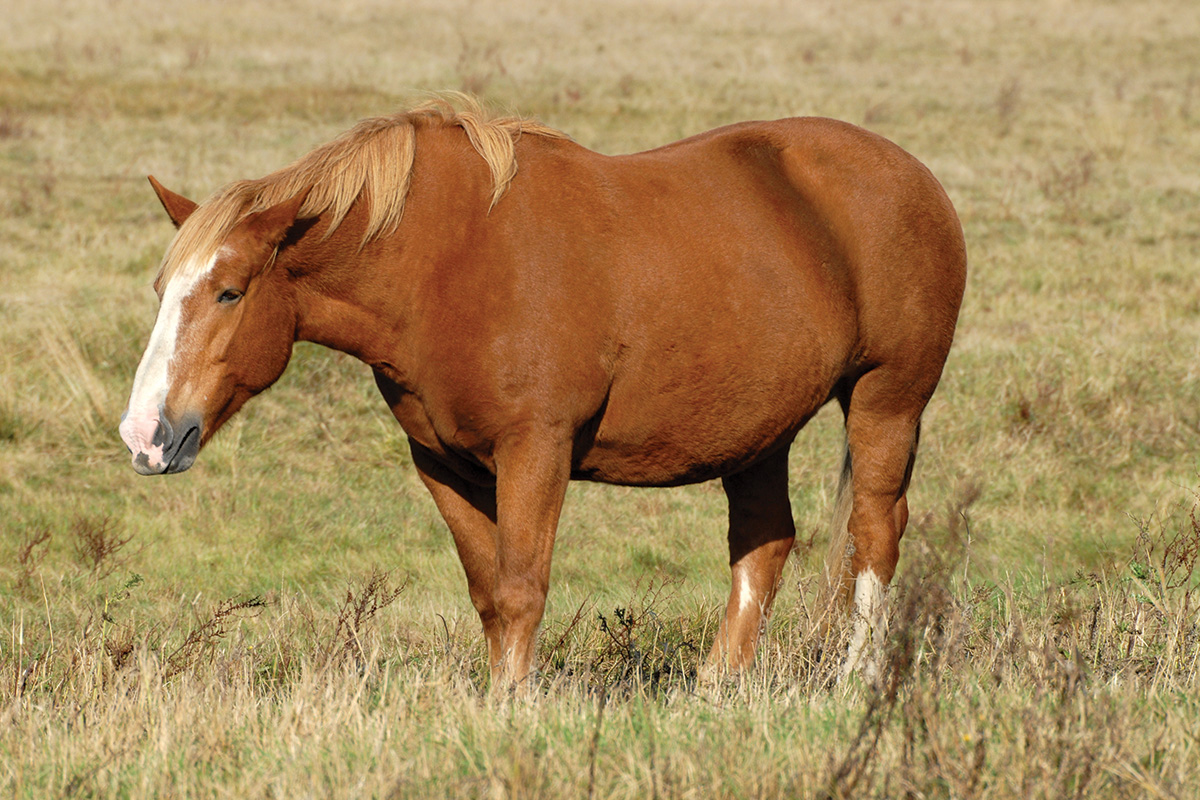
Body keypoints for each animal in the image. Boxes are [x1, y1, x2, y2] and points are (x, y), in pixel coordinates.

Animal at [119, 97, 964, 686]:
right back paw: (718, 685)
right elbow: (490, 593)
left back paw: (857, 678)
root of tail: (917, 177)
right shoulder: (444, 464)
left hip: (888, 399)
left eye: (228, 292)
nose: (144, 435)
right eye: (161, 289)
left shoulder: (537, 449)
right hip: (760, 430)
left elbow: (524, 587)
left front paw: (512, 712)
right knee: (765, 543)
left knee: (875, 532)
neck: (447, 264)